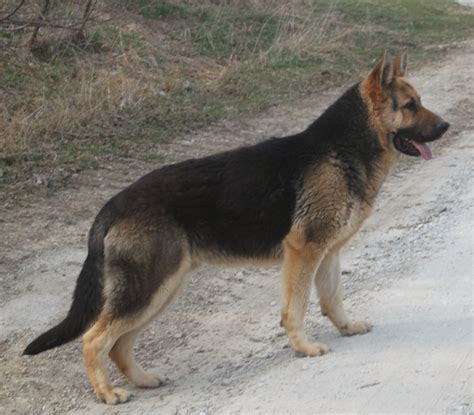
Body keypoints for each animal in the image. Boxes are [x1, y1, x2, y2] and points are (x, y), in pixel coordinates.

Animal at [25, 50, 448, 404]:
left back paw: (142, 379)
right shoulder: (304, 252)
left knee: (118, 343)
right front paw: (305, 348)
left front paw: (346, 328)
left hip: (161, 291)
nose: (446, 125)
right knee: (94, 339)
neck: (343, 148)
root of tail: (113, 205)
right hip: (147, 290)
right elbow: (296, 307)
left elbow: (332, 299)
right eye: (410, 106)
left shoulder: (327, 253)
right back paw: (108, 393)